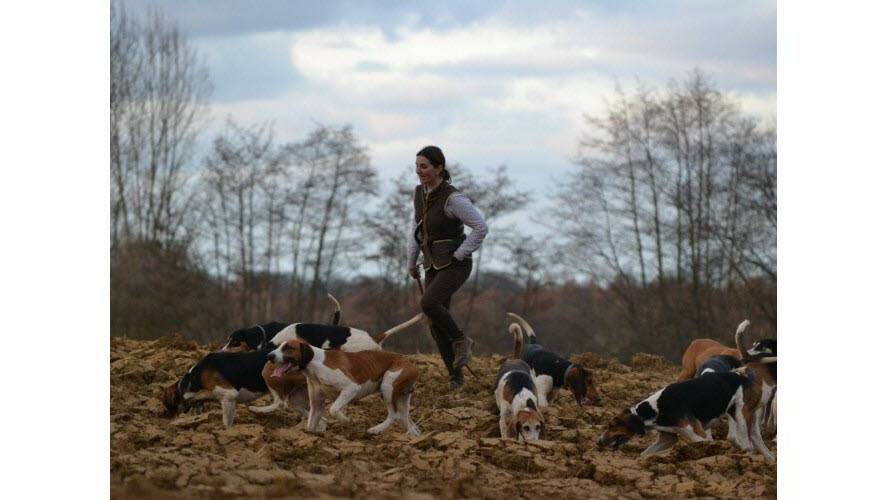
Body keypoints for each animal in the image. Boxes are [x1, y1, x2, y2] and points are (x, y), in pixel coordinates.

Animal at [267, 339, 421, 436]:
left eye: (288, 348)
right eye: (279, 347)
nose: (269, 355)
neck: (315, 363)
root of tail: (410, 361)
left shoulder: (351, 388)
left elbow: (333, 409)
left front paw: (346, 420)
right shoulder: (317, 404)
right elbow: (312, 422)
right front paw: (310, 434)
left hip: (387, 387)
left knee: (394, 415)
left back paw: (376, 429)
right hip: (401, 398)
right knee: (404, 418)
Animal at [597, 371, 753, 458]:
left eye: (611, 425)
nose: (598, 442)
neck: (654, 409)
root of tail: (741, 376)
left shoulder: (699, 436)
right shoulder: (668, 438)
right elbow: (644, 454)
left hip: (740, 414)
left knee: (747, 442)